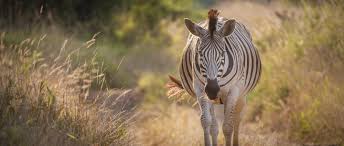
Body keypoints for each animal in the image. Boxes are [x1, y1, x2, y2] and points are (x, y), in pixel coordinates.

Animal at [167, 9, 260, 146]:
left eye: (222, 53)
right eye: (200, 53)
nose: (212, 90)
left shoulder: (233, 91)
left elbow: (228, 126)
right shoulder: (200, 90)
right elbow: (206, 122)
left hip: (241, 96)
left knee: (237, 119)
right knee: (214, 126)